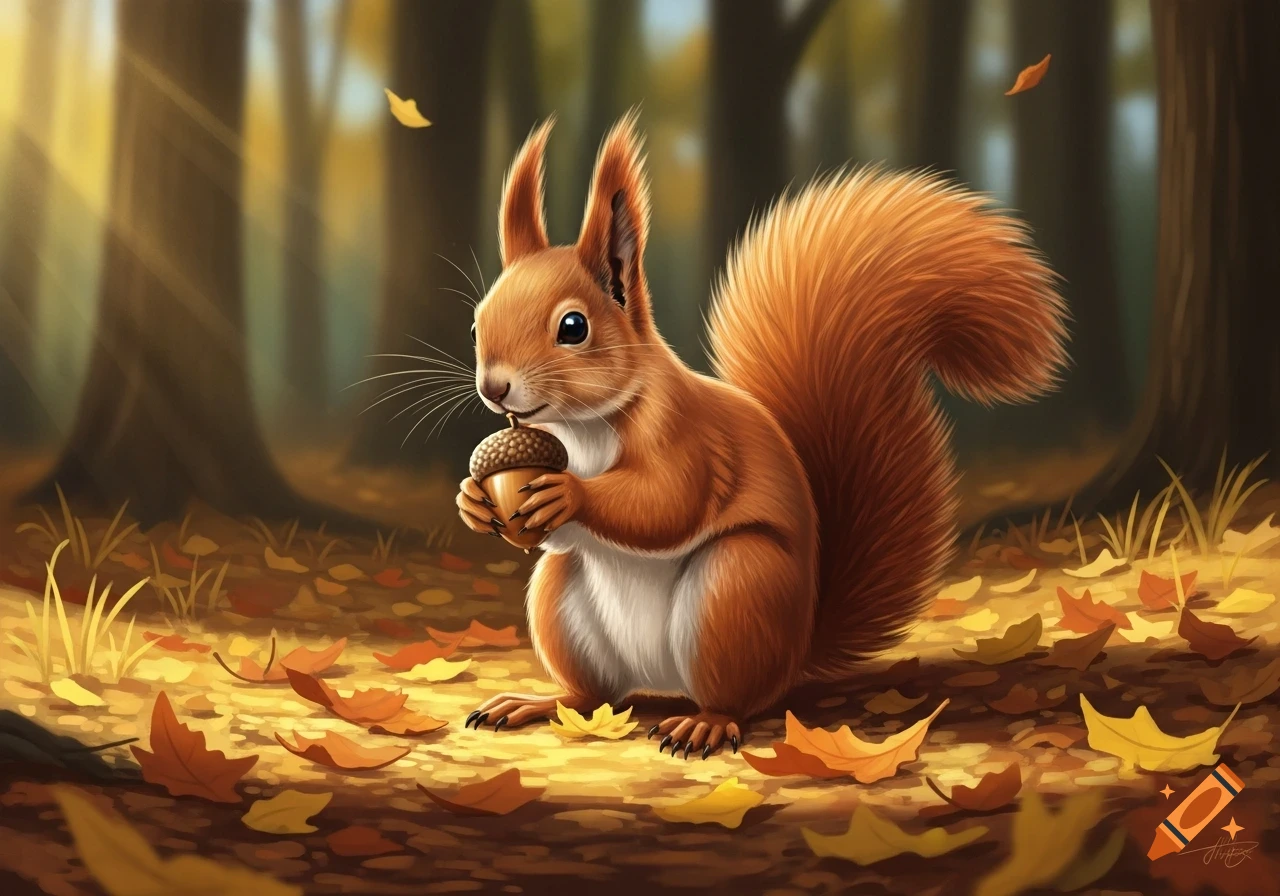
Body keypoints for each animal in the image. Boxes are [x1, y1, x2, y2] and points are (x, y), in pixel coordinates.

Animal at [455, 111, 1068, 759]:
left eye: (573, 327)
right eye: (476, 322)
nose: (494, 387)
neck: (579, 425)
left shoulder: (686, 435)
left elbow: (668, 501)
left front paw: (567, 493)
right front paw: (472, 501)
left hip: (738, 588)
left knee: (735, 699)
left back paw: (704, 724)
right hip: (561, 602)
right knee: (593, 694)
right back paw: (537, 702)